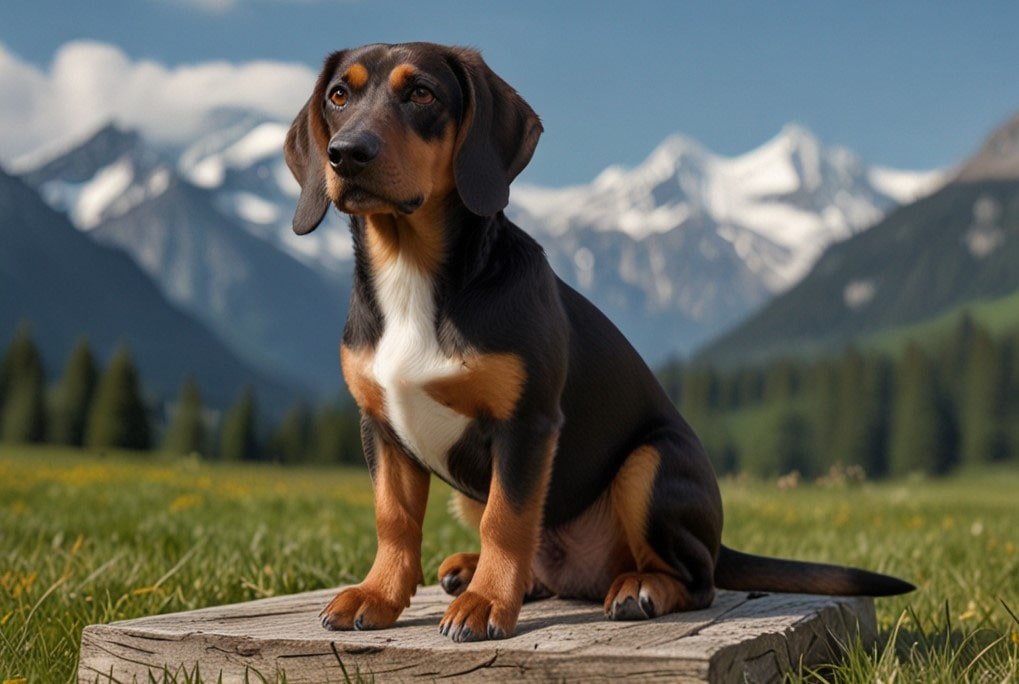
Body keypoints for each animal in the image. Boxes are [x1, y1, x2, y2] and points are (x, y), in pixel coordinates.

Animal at [283, 41, 913, 644]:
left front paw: (486, 604)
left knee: (697, 578)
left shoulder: (527, 423)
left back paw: (638, 588)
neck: (411, 269)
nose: (346, 153)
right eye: (339, 96)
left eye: (421, 93)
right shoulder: (380, 426)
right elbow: (394, 520)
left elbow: (507, 519)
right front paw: (378, 595)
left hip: (649, 464)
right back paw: (474, 569)